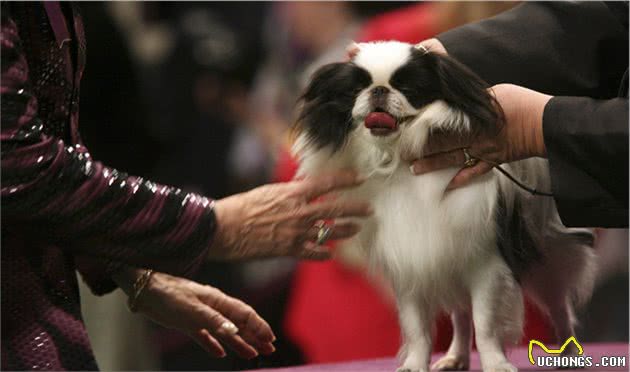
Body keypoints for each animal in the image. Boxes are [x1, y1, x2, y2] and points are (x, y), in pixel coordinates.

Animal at [292, 42, 596, 370]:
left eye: (408, 87)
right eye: (357, 89)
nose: (379, 90)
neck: (398, 159)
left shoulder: (486, 263)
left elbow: (486, 325)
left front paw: (496, 363)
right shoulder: (411, 265)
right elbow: (418, 329)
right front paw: (415, 364)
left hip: (548, 258)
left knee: (559, 307)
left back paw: (567, 353)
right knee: (460, 316)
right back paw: (456, 357)